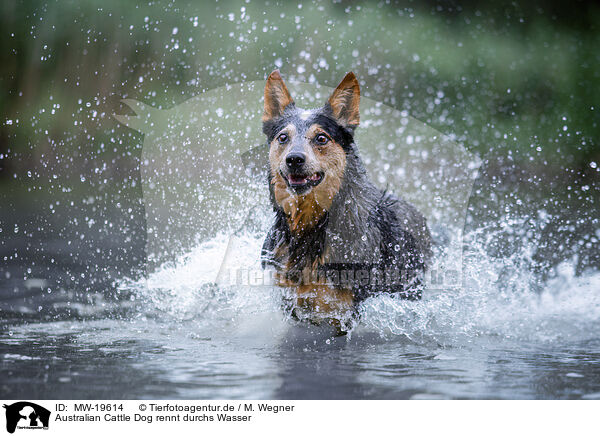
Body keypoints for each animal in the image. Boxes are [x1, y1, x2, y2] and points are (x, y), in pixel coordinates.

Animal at [260, 70, 428, 332]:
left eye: (321, 138)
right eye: (283, 137)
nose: (294, 159)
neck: (311, 229)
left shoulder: (344, 310)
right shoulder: (291, 302)